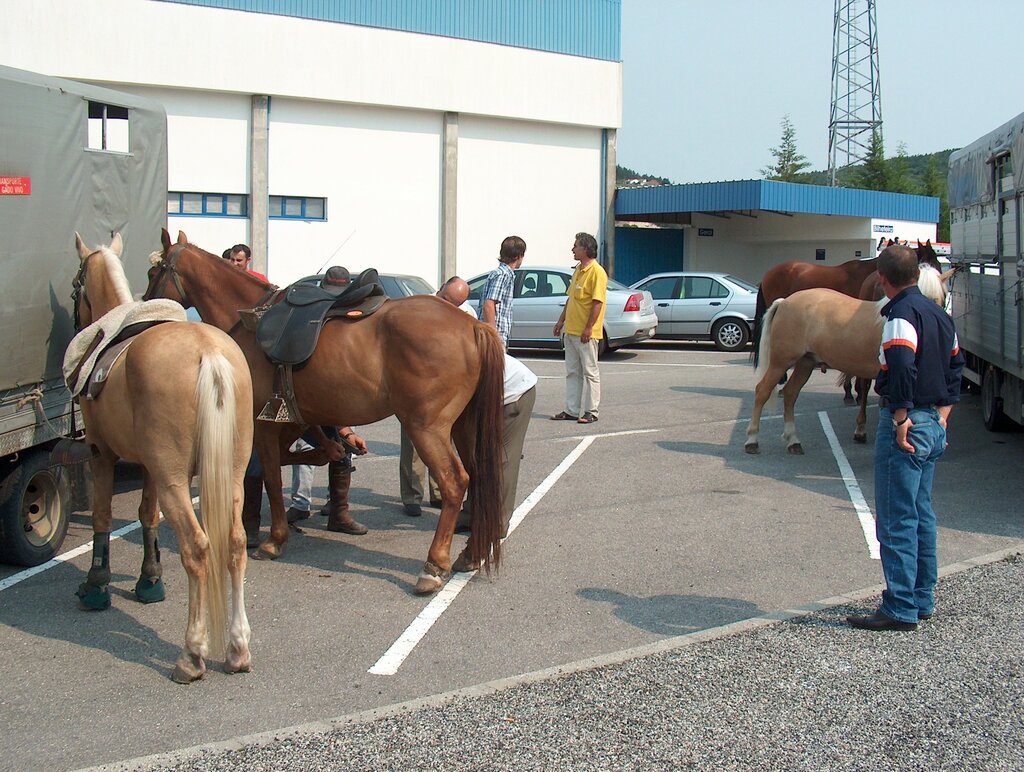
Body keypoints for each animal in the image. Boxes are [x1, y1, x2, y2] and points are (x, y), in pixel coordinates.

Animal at [70, 230, 253, 679]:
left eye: (76, 284)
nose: (76, 320)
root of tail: (209, 352)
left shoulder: (101, 454)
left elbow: (102, 517)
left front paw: (96, 584)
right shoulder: (150, 468)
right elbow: (146, 516)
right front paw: (149, 580)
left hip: (175, 481)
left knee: (198, 548)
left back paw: (191, 654)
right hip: (231, 474)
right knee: (235, 543)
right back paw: (238, 648)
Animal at [145, 225, 507, 593]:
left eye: (152, 273)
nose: (148, 312)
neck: (250, 323)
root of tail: (472, 325)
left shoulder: (264, 424)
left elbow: (271, 477)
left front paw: (274, 540)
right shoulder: (294, 419)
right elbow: (305, 457)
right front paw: (329, 455)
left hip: (426, 427)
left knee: (455, 482)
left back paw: (434, 565)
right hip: (463, 426)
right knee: (478, 477)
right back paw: (469, 554)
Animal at [745, 264, 950, 454]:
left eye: (940, 299)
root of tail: (784, 302)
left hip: (805, 363)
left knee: (790, 394)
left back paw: (793, 441)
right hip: (780, 362)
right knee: (762, 391)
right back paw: (752, 441)